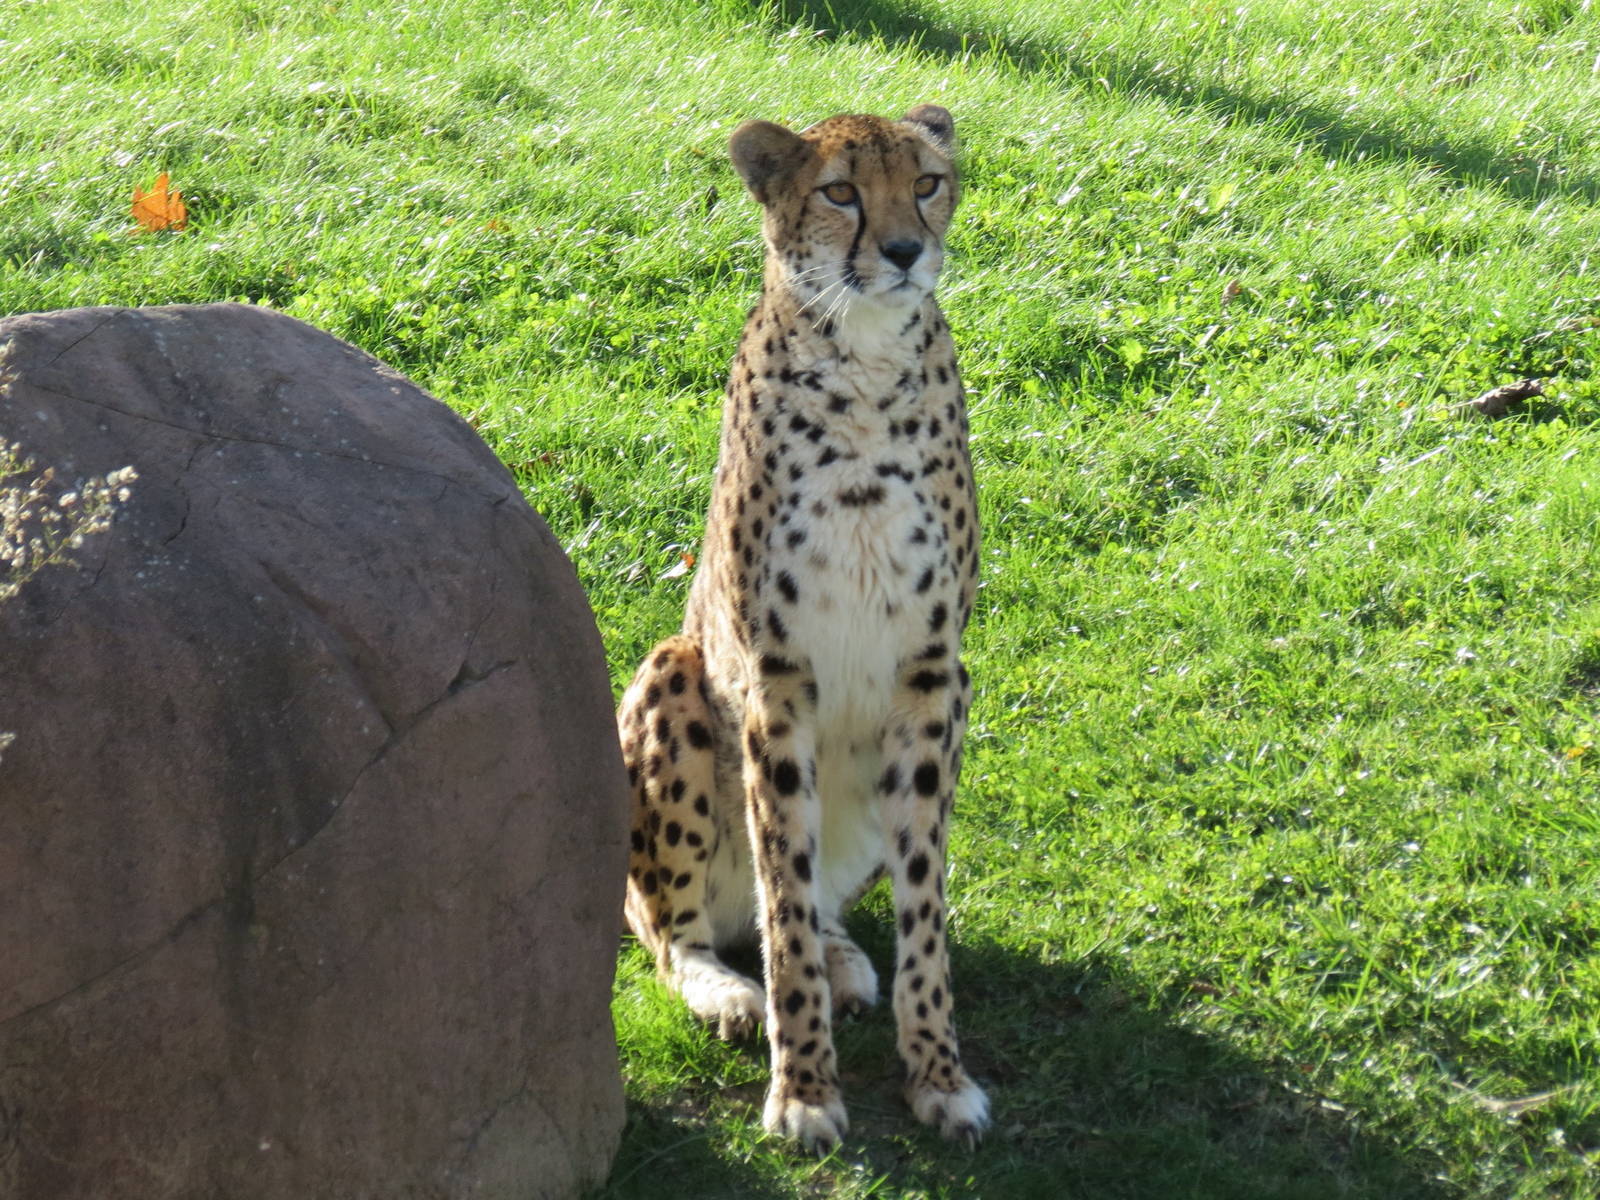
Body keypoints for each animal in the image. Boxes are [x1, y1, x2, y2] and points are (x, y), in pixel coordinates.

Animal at [616, 103, 987, 1154]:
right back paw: (727, 990)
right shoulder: (775, 682)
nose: (904, 250)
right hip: (672, 675)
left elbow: (921, 903)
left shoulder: (932, 676)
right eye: (841, 192)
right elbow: (781, 896)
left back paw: (845, 958)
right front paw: (806, 1090)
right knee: (679, 930)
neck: (864, 360)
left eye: (928, 182)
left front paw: (938, 1074)